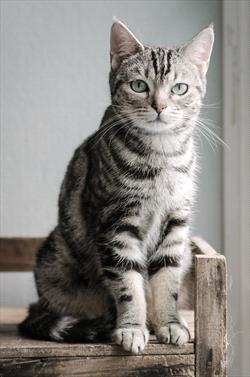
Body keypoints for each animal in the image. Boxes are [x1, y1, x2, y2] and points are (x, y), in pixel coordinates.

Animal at [18, 19, 214, 354]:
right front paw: (132, 327)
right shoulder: (116, 224)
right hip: (54, 261)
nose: (159, 106)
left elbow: (168, 281)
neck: (162, 157)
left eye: (179, 88)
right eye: (138, 86)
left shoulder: (176, 225)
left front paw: (169, 323)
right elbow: (128, 284)